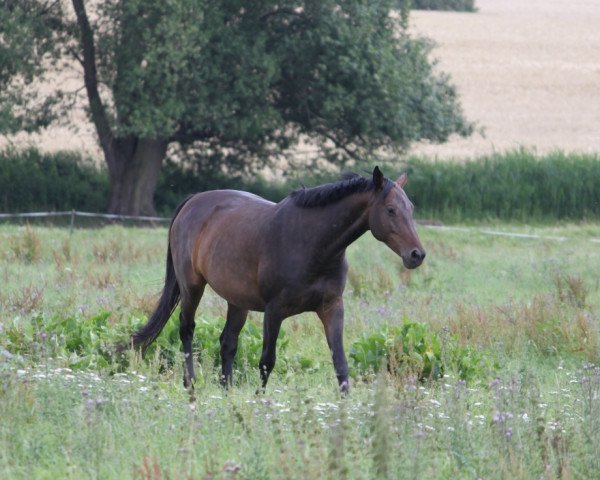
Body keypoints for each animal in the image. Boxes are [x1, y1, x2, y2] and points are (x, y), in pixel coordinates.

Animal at [132, 167, 424, 392]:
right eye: (390, 210)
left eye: (410, 208)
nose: (417, 254)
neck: (313, 244)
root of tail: (192, 202)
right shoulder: (274, 311)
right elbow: (266, 361)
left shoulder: (332, 307)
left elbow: (340, 363)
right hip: (192, 287)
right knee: (187, 330)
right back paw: (190, 384)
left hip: (237, 301)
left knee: (227, 343)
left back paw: (227, 391)